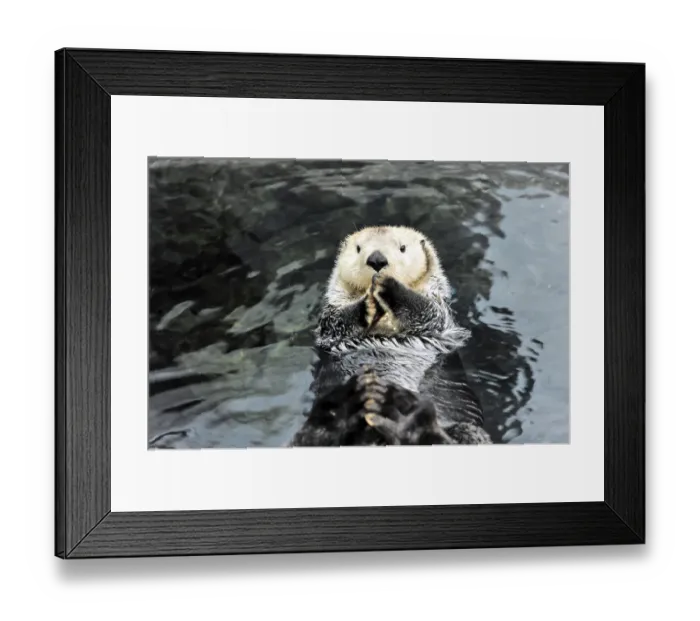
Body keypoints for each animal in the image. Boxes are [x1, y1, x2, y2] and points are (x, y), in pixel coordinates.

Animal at [291, 226, 491, 447]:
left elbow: (427, 312)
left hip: (464, 428)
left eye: (402, 248)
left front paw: (390, 286)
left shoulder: (439, 313)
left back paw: (407, 418)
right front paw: (365, 304)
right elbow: (337, 321)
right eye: (358, 248)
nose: (377, 260)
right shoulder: (329, 320)